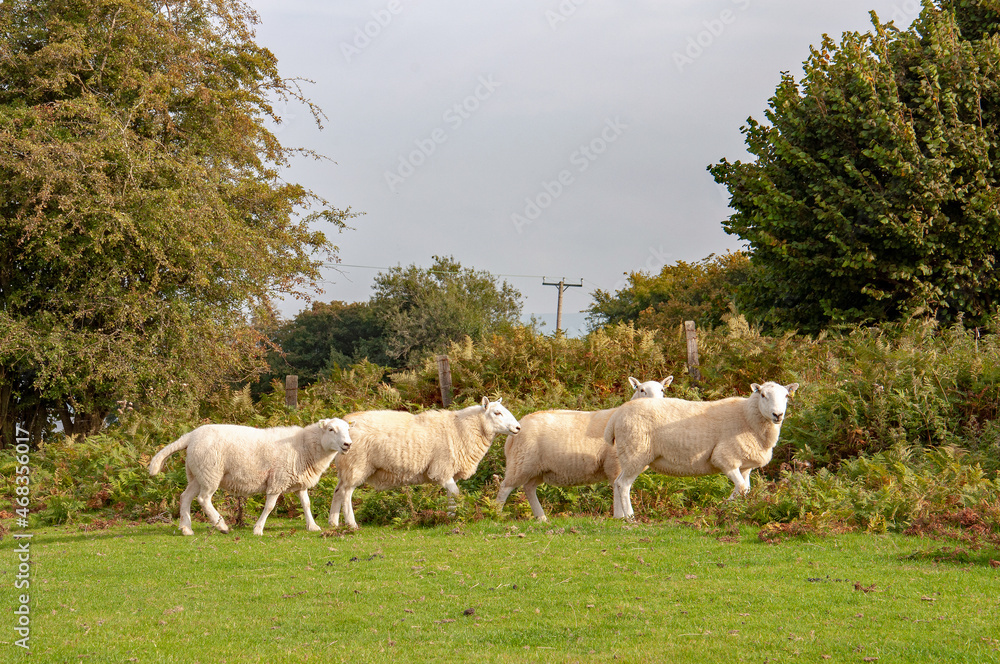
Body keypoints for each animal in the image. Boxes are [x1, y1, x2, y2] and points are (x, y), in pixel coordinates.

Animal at [147, 418, 352, 536]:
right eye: (331, 429)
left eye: (348, 430)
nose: (347, 444)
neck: (305, 446)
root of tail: (191, 436)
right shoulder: (278, 480)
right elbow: (269, 506)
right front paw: (258, 529)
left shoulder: (298, 481)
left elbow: (306, 504)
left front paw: (313, 526)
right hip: (210, 472)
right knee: (204, 499)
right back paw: (221, 526)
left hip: (197, 473)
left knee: (186, 497)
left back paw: (186, 528)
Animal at [328, 397, 521, 529]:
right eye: (497, 413)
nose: (518, 428)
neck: (462, 428)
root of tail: (346, 422)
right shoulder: (441, 469)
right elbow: (456, 493)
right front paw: (455, 516)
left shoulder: (449, 473)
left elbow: (451, 494)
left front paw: (451, 515)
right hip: (356, 465)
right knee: (346, 493)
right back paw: (351, 524)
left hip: (346, 468)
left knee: (337, 491)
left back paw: (333, 523)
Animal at [495, 376, 673, 521]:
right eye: (642, 390)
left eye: (662, 390)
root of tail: (516, 428)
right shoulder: (614, 464)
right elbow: (618, 487)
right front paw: (619, 517)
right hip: (521, 462)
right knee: (505, 488)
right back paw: (495, 514)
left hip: (538, 468)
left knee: (529, 488)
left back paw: (542, 518)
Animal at [604, 381, 799, 519]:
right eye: (763, 395)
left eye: (786, 396)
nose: (777, 415)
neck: (747, 416)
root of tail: (617, 415)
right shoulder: (725, 459)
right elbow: (742, 488)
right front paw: (722, 508)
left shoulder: (745, 466)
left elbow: (745, 490)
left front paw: (738, 510)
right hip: (635, 453)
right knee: (624, 484)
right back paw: (630, 517)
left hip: (631, 455)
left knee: (617, 482)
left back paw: (619, 517)